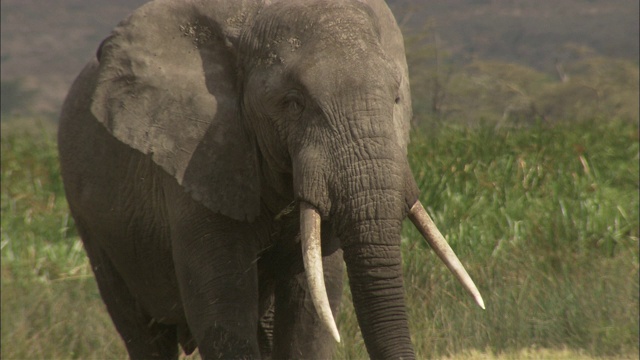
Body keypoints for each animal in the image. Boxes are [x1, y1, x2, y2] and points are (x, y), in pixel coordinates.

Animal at [58, 0, 484, 358]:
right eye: (293, 103)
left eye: (396, 98)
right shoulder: (200, 160)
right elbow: (223, 314)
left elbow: (312, 312)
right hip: (94, 225)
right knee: (143, 333)